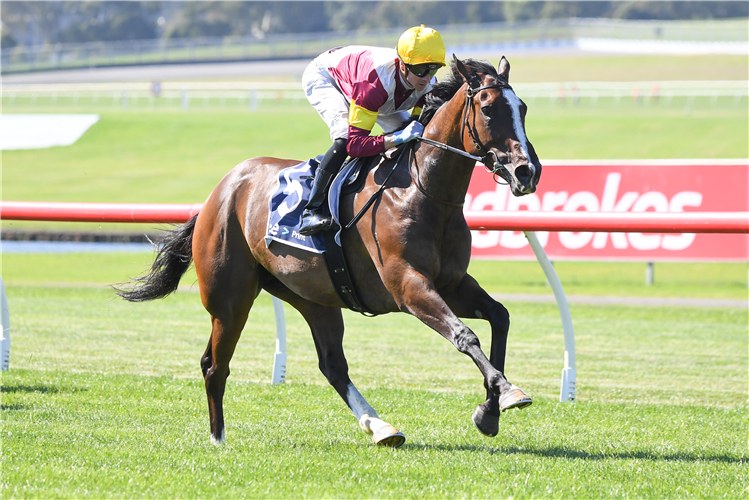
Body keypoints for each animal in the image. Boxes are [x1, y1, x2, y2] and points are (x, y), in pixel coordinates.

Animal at [117, 56, 540, 448]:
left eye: (522, 108)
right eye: (488, 108)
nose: (527, 172)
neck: (422, 192)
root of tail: (219, 191)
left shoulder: (452, 283)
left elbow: (499, 317)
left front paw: (491, 409)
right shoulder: (408, 286)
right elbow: (465, 335)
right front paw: (506, 392)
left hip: (314, 296)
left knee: (332, 365)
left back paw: (381, 428)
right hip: (230, 298)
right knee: (214, 364)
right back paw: (218, 438)